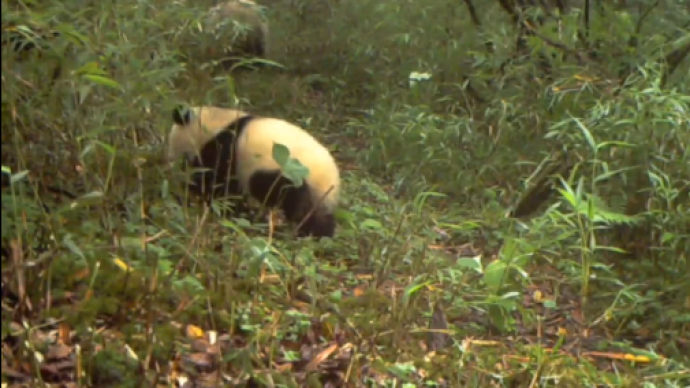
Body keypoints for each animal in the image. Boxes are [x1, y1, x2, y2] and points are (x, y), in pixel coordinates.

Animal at [167, 106, 338, 239]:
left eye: (183, 160)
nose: (173, 169)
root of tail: (329, 182)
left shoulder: (223, 148)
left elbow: (217, 182)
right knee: (318, 215)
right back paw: (319, 233)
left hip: (290, 174)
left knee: (289, 200)